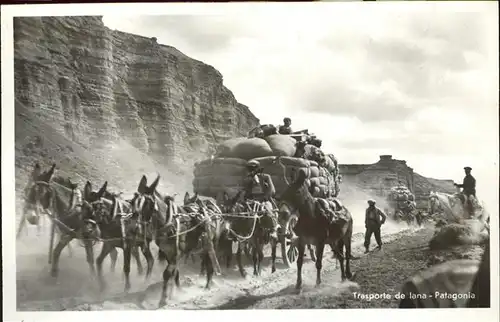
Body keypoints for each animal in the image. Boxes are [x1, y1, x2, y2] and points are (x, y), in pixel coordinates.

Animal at [133, 175, 221, 306]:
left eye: (148, 202)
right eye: (134, 201)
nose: (137, 227)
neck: (169, 223)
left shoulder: (176, 254)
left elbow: (167, 274)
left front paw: (163, 299)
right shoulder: (168, 254)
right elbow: (175, 273)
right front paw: (176, 292)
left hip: (213, 244)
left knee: (210, 263)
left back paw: (208, 286)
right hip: (202, 247)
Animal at [276, 155, 354, 290]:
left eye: (297, 192)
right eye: (285, 190)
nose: (283, 213)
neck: (311, 218)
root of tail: (346, 210)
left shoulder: (320, 243)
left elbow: (318, 263)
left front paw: (318, 282)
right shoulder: (302, 241)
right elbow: (299, 263)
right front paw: (298, 284)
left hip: (346, 237)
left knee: (347, 254)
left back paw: (348, 274)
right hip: (333, 241)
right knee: (340, 256)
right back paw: (343, 277)